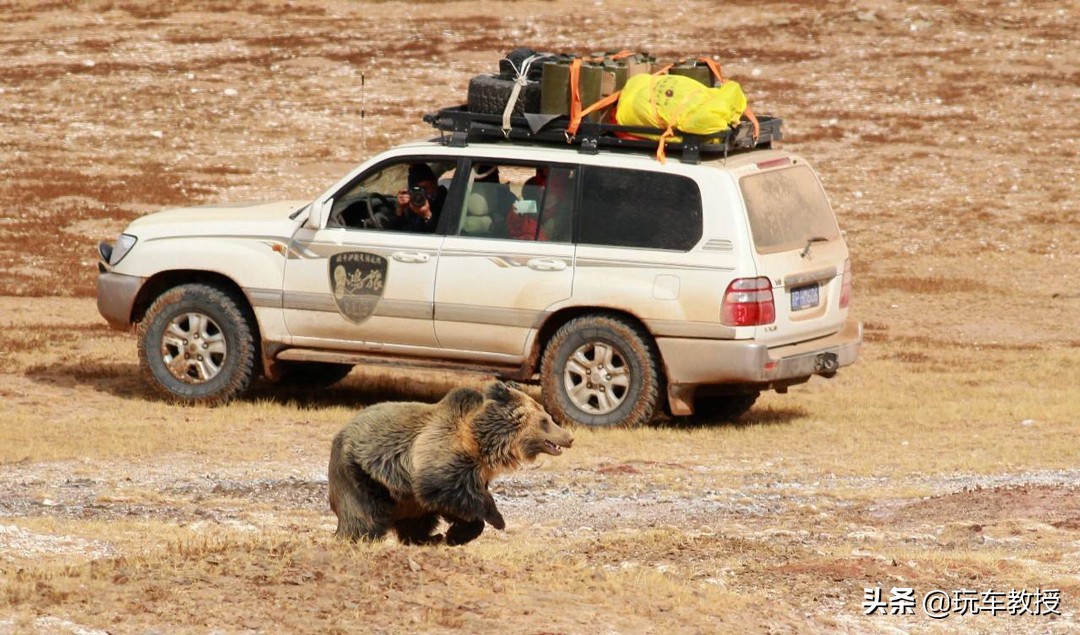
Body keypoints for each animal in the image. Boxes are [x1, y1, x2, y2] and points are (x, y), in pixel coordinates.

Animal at [326, 380, 574, 548]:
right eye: (545, 421)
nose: (569, 437)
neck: (482, 445)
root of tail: (340, 434)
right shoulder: (444, 459)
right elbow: (446, 491)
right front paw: (496, 519)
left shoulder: (475, 474)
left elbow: (454, 505)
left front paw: (455, 535)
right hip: (360, 473)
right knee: (364, 515)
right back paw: (358, 537)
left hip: (400, 497)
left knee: (415, 520)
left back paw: (428, 537)